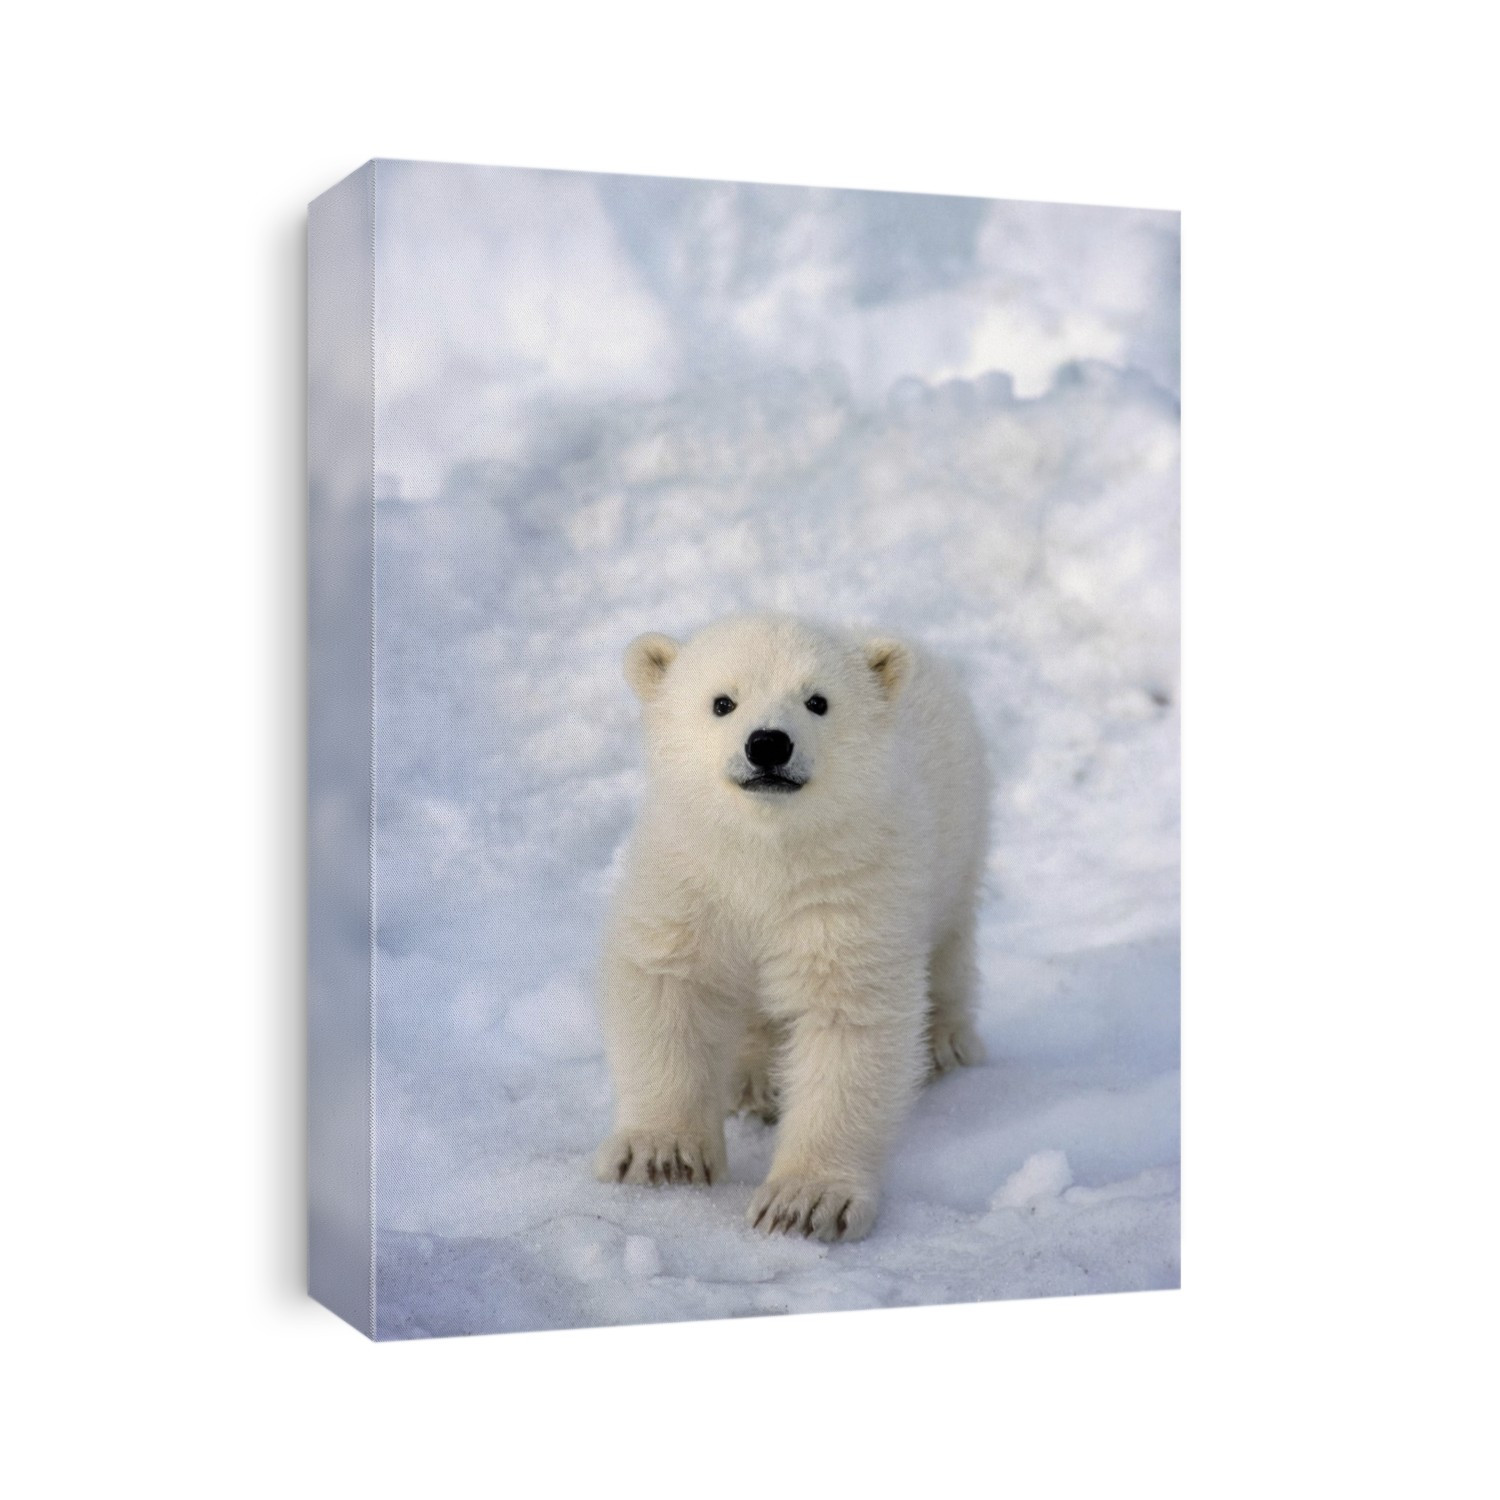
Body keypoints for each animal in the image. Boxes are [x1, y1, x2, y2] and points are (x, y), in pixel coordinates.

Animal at [593, 612, 989, 1242]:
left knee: (951, 936)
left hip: (959, 830)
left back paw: (947, 1041)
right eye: (722, 701)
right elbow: (668, 983)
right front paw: (661, 1155)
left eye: (818, 701)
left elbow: (846, 1020)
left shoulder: (847, 893)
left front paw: (804, 1203)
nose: (768, 743)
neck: (766, 851)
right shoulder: (690, 878)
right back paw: (755, 1079)